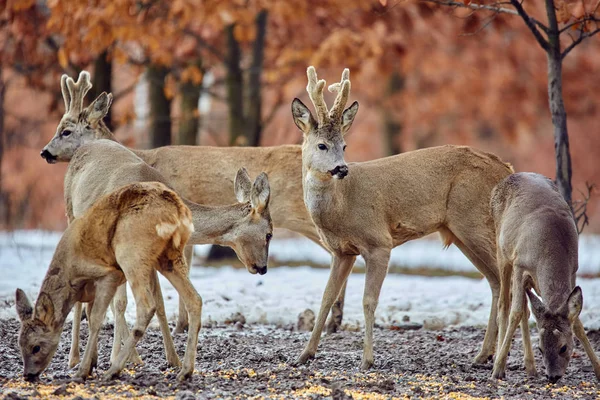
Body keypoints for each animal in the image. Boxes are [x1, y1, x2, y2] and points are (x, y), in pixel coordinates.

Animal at [15, 181, 200, 382]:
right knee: (195, 299)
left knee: (147, 305)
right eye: (19, 344)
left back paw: (114, 370)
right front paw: (91, 364)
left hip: (130, 254)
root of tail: (177, 210)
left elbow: (96, 319)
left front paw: (83, 370)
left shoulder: (109, 274)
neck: (71, 276)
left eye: (36, 347)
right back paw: (185, 371)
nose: (28, 375)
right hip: (169, 257)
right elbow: (89, 315)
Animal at [290, 65, 510, 368]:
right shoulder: (341, 252)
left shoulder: (378, 242)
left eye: (344, 146)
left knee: (508, 282)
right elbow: (326, 297)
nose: (342, 169)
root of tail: (506, 168)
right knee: (495, 282)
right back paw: (483, 355)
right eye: (322, 145)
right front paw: (304, 355)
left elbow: (368, 300)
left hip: (476, 222)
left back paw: (500, 357)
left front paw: (367, 360)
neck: (341, 207)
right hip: (462, 233)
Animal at [488, 172, 600, 382]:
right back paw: (501, 361)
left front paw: (598, 369)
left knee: (527, 307)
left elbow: (577, 323)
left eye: (563, 347)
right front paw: (497, 369)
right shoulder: (520, 263)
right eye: (540, 348)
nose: (552, 376)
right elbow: (515, 312)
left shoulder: (574, 269)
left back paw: (530, 368)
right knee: (504, 304)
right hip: (501, 250)